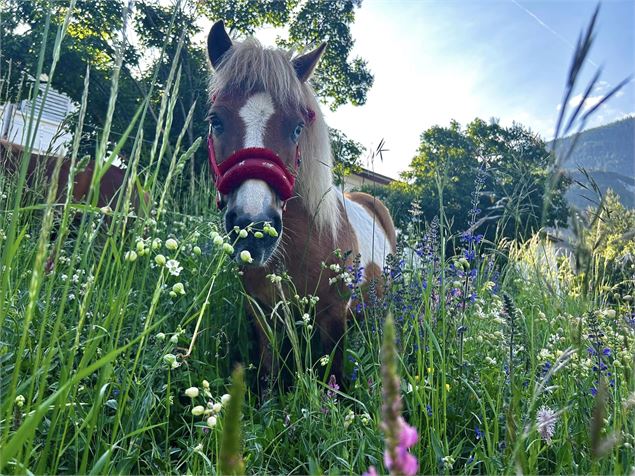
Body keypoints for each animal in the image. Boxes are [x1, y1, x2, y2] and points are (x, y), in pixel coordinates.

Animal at [206, 22, 396, 386]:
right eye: (215, 121)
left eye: (297, 127)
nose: (254, 229)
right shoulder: (262, 312)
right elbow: (267, 375)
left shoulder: (334, 319)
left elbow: (332, 379)